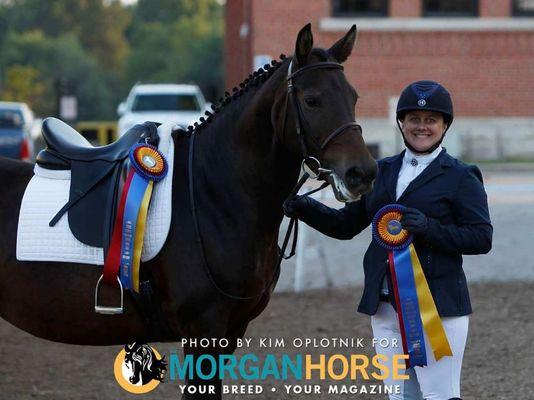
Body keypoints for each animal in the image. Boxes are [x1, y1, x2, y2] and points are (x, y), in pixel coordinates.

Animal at [0, 24, 376, 396]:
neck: (211, 193)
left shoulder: (229, 332)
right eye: (312, 100)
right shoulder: (202, 332)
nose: (362, 172)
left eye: (354, 97)